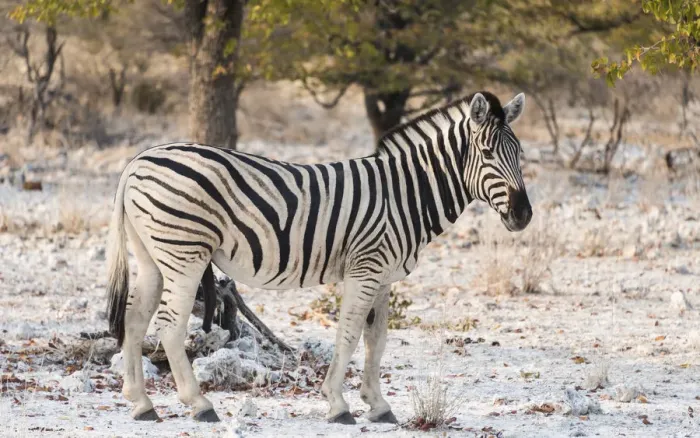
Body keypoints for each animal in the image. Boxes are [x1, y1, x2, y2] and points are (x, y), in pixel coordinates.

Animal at [105, 91, 532, 424]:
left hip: (153, 256)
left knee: (135, 318)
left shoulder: (384, 277)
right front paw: (339, 405)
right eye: (488, 153)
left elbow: (377, 339)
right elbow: (349, 335)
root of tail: (138, 161)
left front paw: (378, 405)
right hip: (185, 253)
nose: (523, 215)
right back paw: (199, 404)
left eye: (520, 154)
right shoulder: (366, 268)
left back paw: (141, 404)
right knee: (170, 325)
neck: (406, 194)